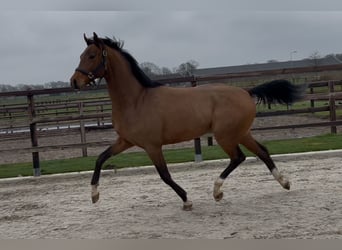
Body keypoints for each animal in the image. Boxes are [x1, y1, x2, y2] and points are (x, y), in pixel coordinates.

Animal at [70, 32, 304, 210]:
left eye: (92, 55)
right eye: (80, 55)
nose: (74, 82)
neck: (136, 100)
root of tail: (246, 91)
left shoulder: (152, 146)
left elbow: (164, 175)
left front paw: (187, 200)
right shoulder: (125, 141)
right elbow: (100, 158)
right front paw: (94, 195)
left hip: (225, 136)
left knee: (238, 157)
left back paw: (217, 191)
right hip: (241, 133)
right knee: (262, 151)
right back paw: (284, 182)